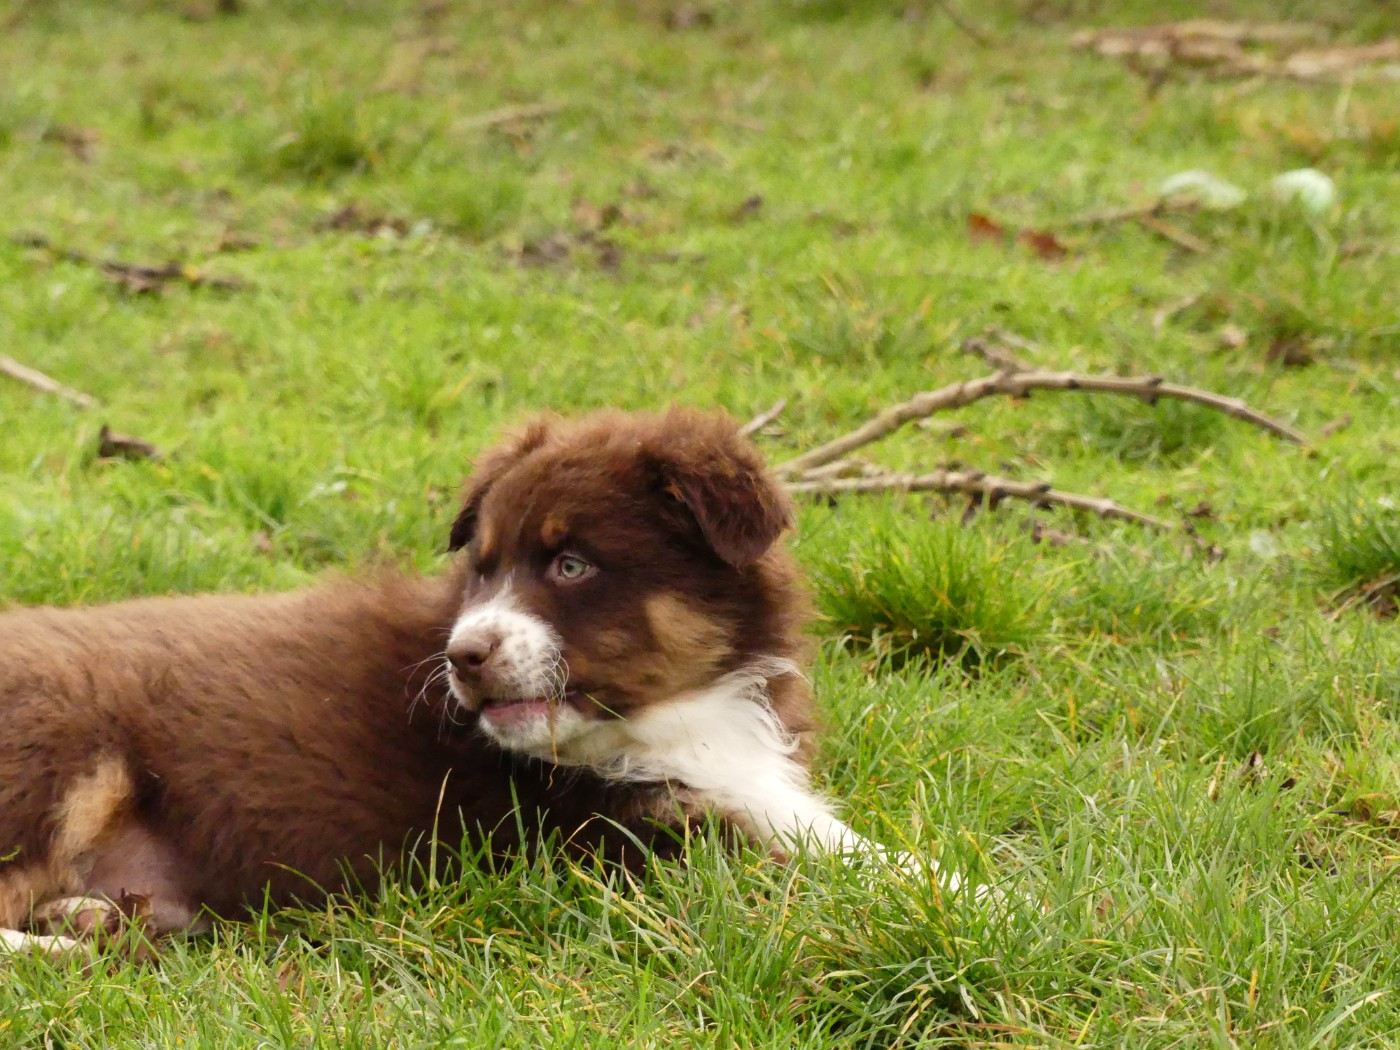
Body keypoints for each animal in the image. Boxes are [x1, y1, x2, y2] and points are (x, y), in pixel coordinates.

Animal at [0, 408, 884, 956]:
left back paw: (92, 916)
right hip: (61, 744)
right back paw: (67, 948)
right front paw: (924, 888)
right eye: (484, 567)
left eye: (572, 565)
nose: (464, 657)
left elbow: (848, 845)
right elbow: (824, 866)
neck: (676, 709)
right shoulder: (629, 840)